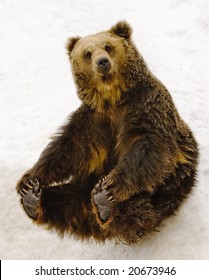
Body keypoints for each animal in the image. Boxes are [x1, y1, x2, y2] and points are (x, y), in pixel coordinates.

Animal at [16, 21, 199, 244]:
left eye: (108, 46)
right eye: (87, 53)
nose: (102, 62)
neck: (112, 98)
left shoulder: (145, 106)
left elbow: (149, 148)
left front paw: (109, 187)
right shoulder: (93, 122)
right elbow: (68, 148)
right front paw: (28, 179)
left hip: (167, 189)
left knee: (138, 210)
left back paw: (105, 204)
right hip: (82, 188)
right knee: (64, 201)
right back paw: (33, 199)